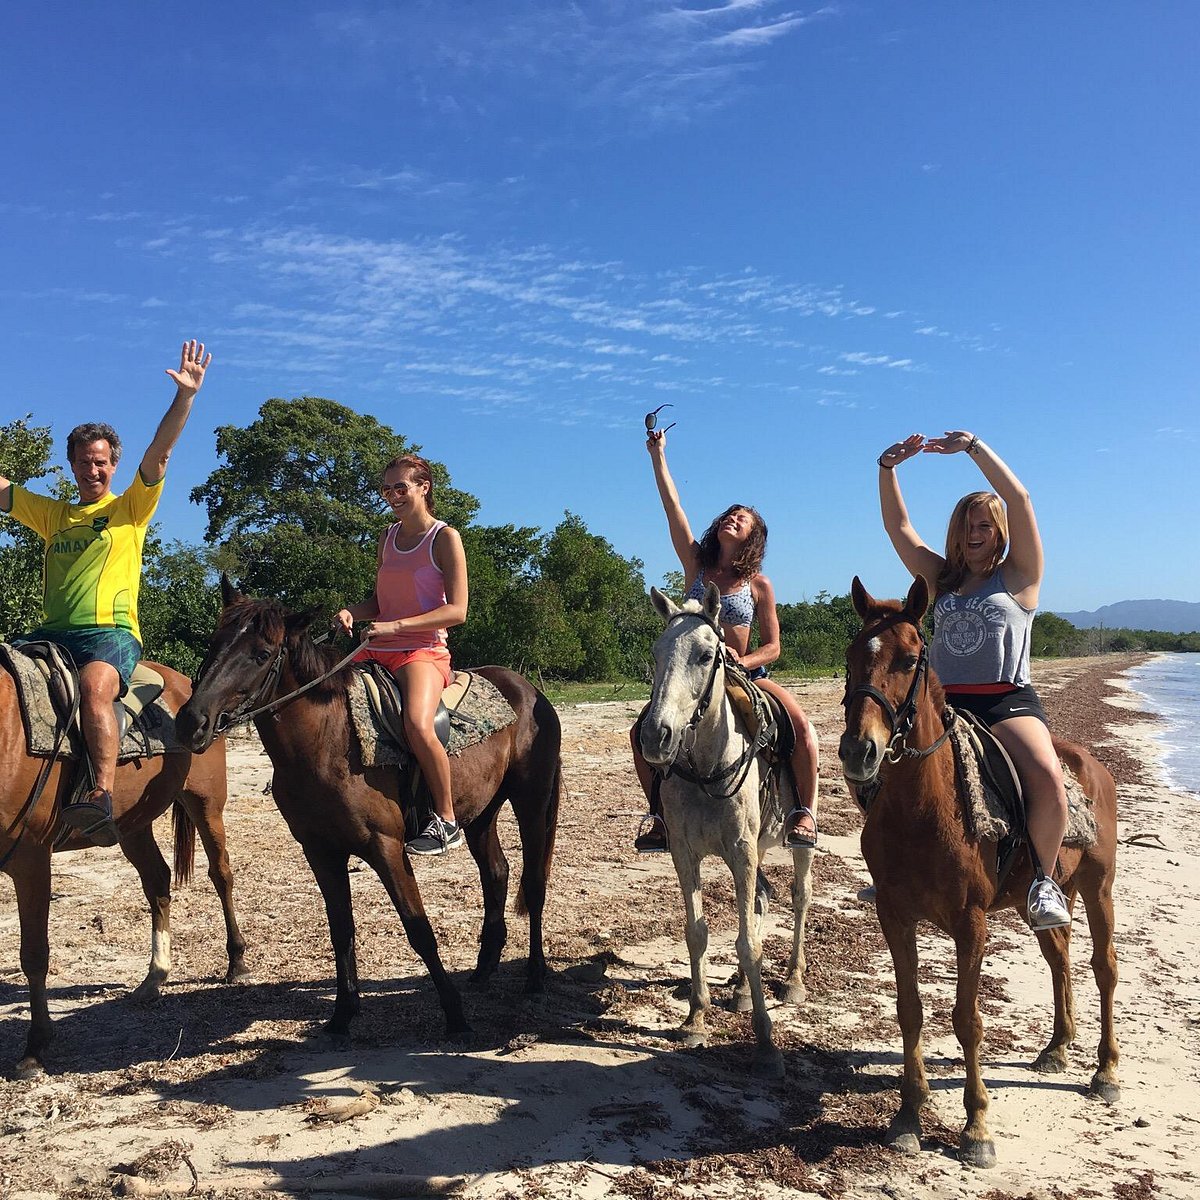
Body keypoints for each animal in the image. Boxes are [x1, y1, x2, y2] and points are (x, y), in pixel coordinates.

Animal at [0, 657, 248, 1080]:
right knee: (158, 882)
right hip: (133, 826)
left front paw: (36, 1047)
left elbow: (34, 955)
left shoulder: (31, 862)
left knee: (221, 874)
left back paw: (236, 962)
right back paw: (155, 977)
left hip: (205, 803)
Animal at [175, 583, 564, 1041]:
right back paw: (484, 968)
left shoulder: (386, 849)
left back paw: (536, 977)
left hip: (531, 803)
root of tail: (530, 692)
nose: (191, 723)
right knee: (496, 873)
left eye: (262, 653)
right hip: (481, 814)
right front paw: (342, 1014)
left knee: (534, 883)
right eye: (214, 643)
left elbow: (418, 929)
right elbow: (341, 928)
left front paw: (455, 1016)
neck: (329, 741)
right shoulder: (321, 852)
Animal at [638, 583, 816, 1080]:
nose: (656, 735)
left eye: (705, 655)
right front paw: (696, 1020)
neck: (706, 768)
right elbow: (698, 932)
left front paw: (766, 1043)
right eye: (656, 652)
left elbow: (748, 943)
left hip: (795, 842)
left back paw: (792, 980)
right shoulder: (686, 854)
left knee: (798, 897)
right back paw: (738, 989)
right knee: (762, 899)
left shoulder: (740, 852)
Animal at [840, 576, 1118, 1166]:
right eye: (852, 656)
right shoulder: (895, 916)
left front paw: (976, 1127)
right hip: (1049, 898)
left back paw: (1106, 1071)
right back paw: (1058, 1047)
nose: (858, 750)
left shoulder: (972, 925)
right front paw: (908, 1114)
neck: (923, 807)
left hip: (1098, 888)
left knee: (1104, 968)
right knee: (1060, 958)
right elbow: (910, 1010)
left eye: (909, 658)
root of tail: (1091, 766)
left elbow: (967, 1020)